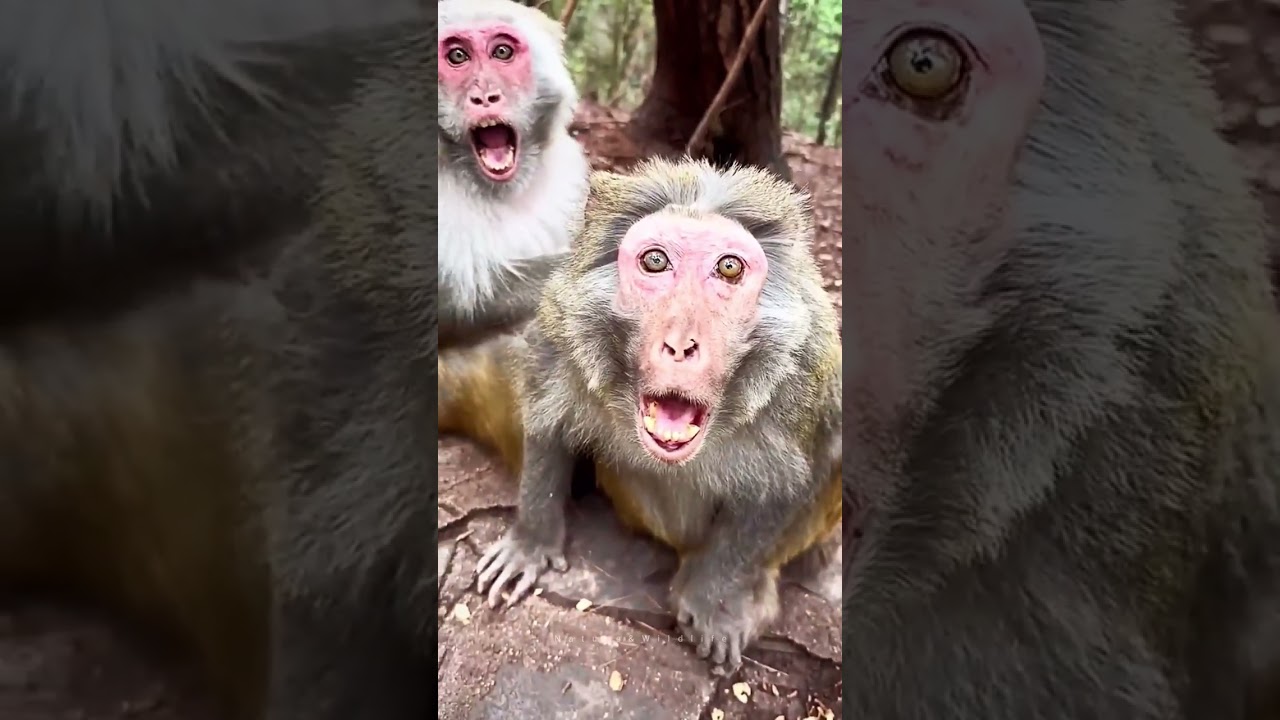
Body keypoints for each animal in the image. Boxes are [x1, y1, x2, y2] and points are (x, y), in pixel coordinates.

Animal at [437, 157, 844, 677]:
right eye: (655, 262)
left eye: (729, 268)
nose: (681, 343)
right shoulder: (562, 327)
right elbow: (546, 419)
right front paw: (531, 542)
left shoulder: (810, 375)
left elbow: (800, 477)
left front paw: (710, 596)